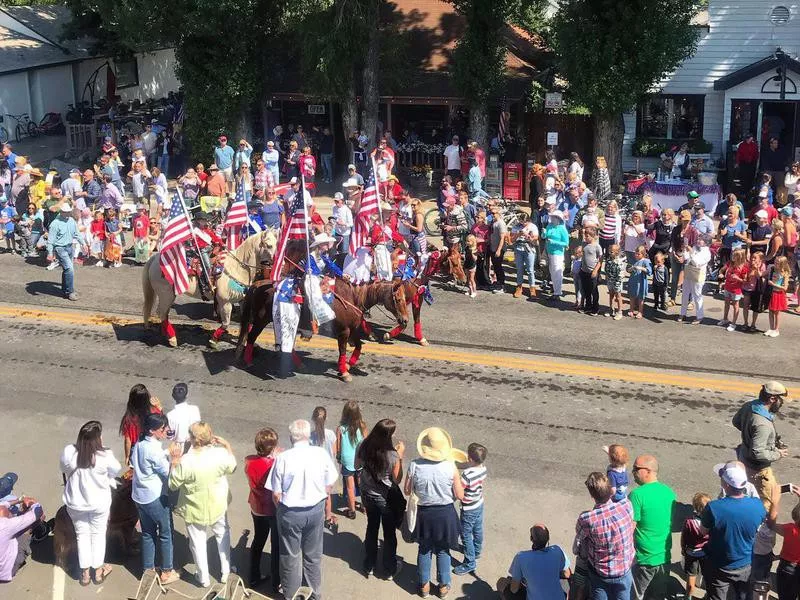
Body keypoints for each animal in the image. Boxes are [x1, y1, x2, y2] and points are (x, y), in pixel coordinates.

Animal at [143, 232, 278, 350]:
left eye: (277, 243)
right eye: (269, 245)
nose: (278, 263)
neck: (236, 268)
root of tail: (154, 258)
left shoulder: (243, 301)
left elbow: (247, 322)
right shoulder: (225, 302)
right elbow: (226, 323)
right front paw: (213, 340)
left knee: (163, 314)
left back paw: (166, 334)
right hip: (166, 294)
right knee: (162, 313)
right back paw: (172, 339)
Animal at [231, 276, 406, 380]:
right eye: (398, 299)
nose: (404, 320)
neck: (352, 297)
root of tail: (258, 284)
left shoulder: (353, 330)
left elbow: (358, 346)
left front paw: (348, 365)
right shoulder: (344, 331)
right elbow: (343, 350)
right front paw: (344, 372)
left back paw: (298, 364)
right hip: (261, 320)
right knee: (251, 336)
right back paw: (248, 361)